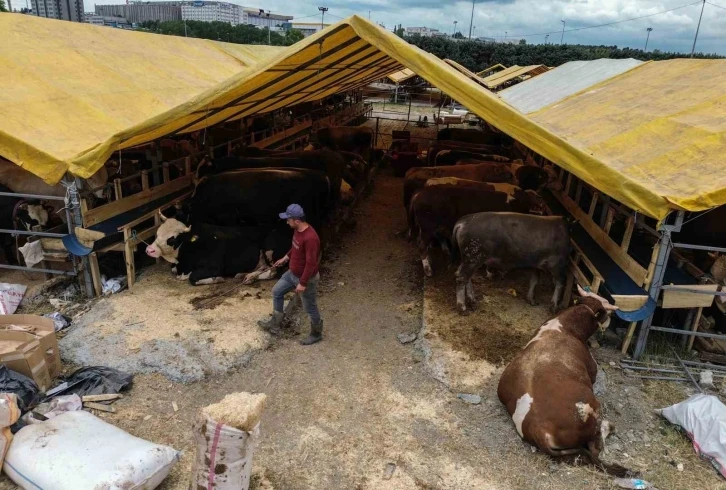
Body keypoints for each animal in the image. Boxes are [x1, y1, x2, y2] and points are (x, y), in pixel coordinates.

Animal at [146, 212, 292, 286]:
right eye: (157, 233)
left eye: (172, 239)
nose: (149, 250)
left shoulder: (215, 267)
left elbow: (192, 278)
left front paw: (217, 279)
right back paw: (245, 275)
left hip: (271, 252)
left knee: (273, 271)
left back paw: (250, 277)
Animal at [498, 286, 636, 476]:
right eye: (608, 312)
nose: (610, 320)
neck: (564, 326)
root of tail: (538, 428)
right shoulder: (592, 370)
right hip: (591, 409)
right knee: (595, 447)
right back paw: (609, 427)